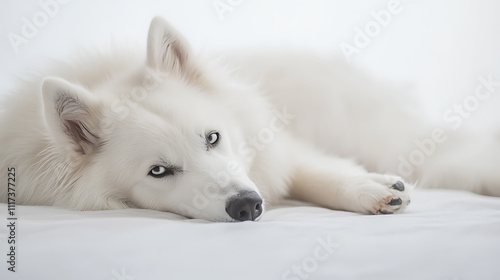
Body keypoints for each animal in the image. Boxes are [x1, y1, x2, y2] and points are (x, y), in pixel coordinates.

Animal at [0, 18, 494, 223]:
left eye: (213, 138)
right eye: (158, 171)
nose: (248, 206)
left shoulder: (278, 145)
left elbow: (310, 172)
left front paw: (366, 189)